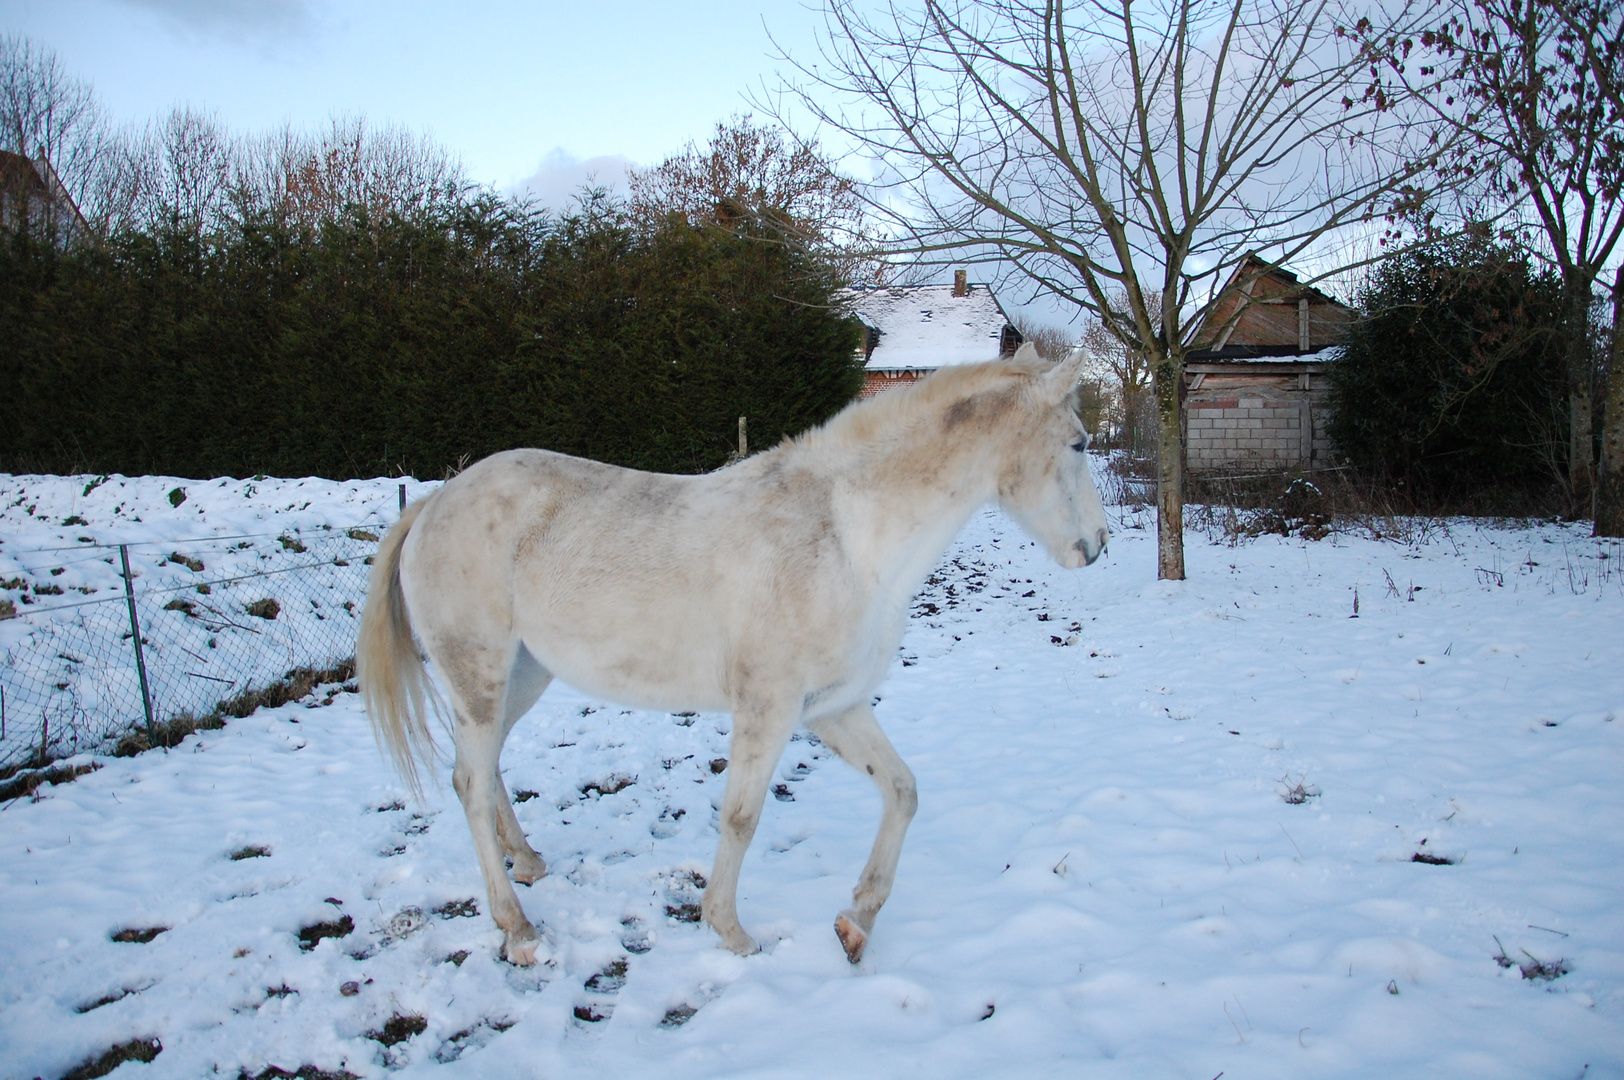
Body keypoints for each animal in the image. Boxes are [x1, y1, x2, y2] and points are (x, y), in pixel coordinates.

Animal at [358, 342, 1104, 961]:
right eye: (1078, 443)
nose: (1096, 546)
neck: (847, 535)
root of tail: (430, 505)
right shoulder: (768, 709)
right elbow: (742, 817)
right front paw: (732, 932)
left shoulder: (834, 708)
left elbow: (902, 791)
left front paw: (857, 922)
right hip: (479, 679)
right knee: (469, 784)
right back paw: (517, 928)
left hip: (521, 677)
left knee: (485, 772)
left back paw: (530, 863)